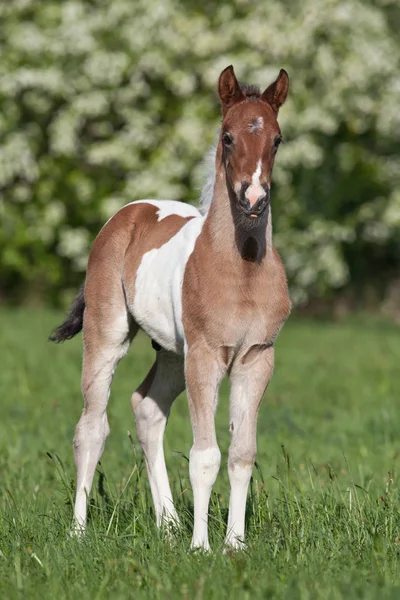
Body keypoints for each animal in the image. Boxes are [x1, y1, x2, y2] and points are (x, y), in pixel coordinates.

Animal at [51, 64, 292, 548]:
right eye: (227, 136)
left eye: (277, 140)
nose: (253, 200)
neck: (241, 273)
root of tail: (129, 211)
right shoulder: (205, 357)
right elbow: (205, 456)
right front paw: (201, 547)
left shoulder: (256, 358)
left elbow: (242, 454)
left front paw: (234, 545)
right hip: (109, 334)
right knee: (91, 428)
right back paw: (79, 531)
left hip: (172, 353)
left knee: (147, 409)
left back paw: (169, 523)